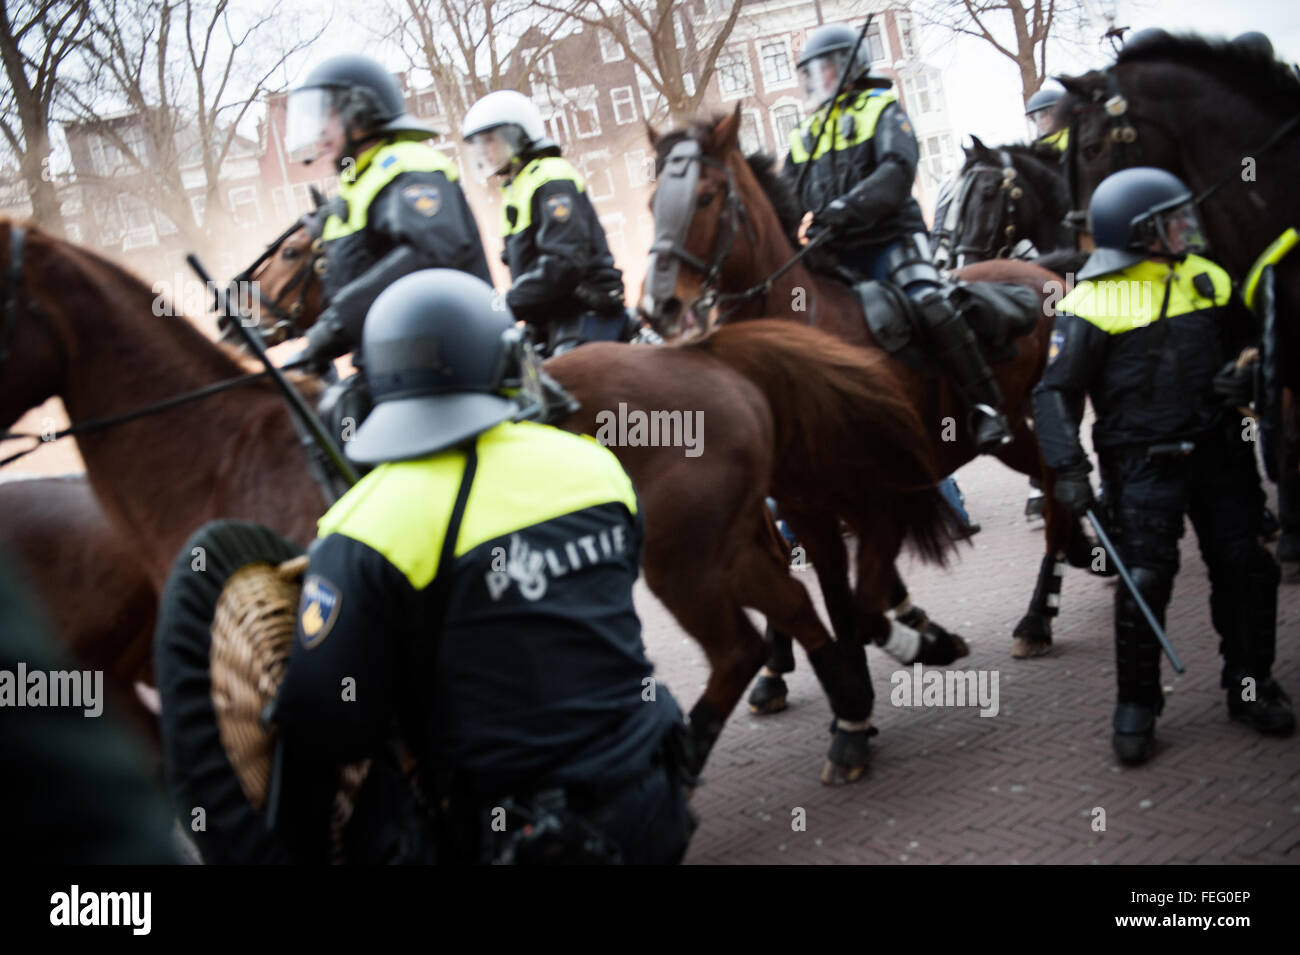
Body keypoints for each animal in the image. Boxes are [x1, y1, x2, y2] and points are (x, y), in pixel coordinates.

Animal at [0, 218, 956, 784]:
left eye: (299, 250)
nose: (247, 312)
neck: (219, 448)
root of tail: (704, 351)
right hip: (719, 546)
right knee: (791, 607)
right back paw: (852, 711)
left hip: (682, 559)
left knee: (743, 643)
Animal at [639, 108, 1076, 660]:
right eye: (653, 202)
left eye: (705, 196)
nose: (659, 304)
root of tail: (1044, 273)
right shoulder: (806, 505)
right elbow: (840, 607)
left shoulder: (873, 495)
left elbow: (860, 605)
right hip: (1013, 434)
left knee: (1061, 496)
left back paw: (1038, 617)